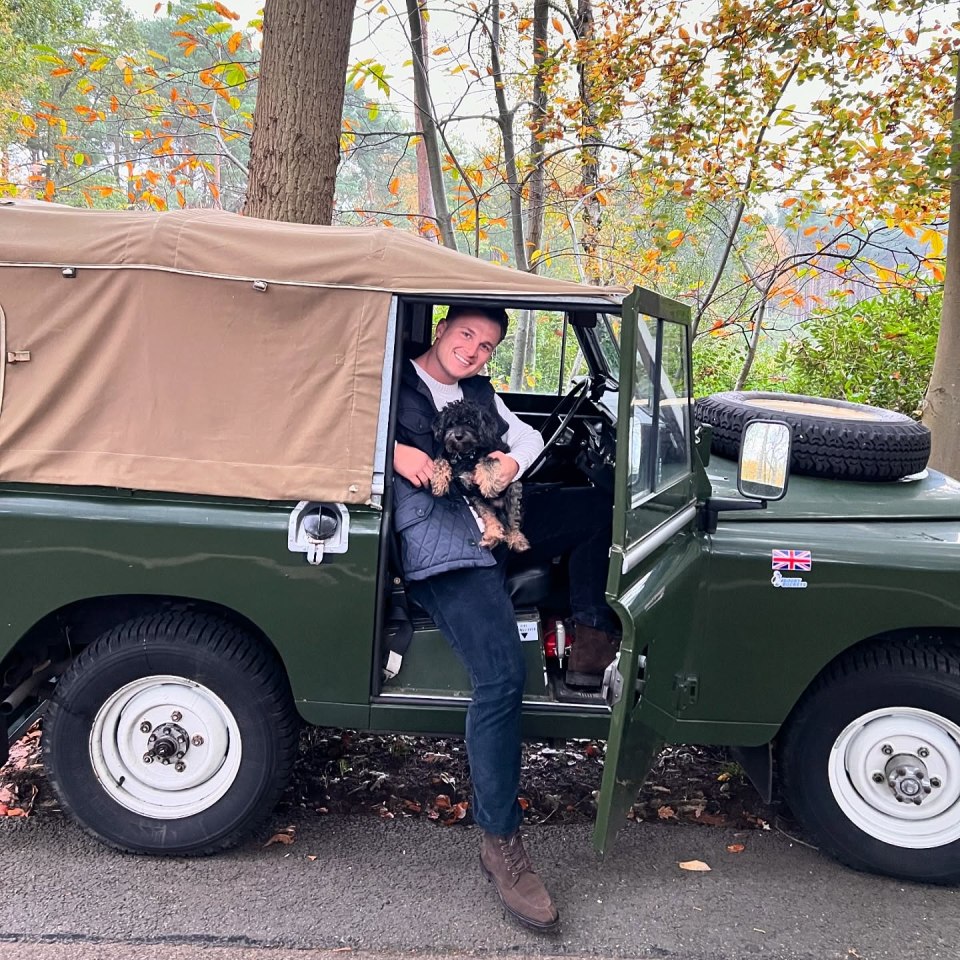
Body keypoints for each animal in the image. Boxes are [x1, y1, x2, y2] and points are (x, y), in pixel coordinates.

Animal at [430, 400, 528, 552]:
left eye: (469, 422)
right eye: (451, 423)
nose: (458, 435)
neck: (465, 455)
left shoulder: (495, 452)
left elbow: (487, 461)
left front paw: (488, 485)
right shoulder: (468, 488)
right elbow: (441, 460)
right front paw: (439, 483)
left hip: (513, 490)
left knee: (512, 521)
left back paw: (517, 539)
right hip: (478, 500)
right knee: (491, 517)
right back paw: (492, 536)